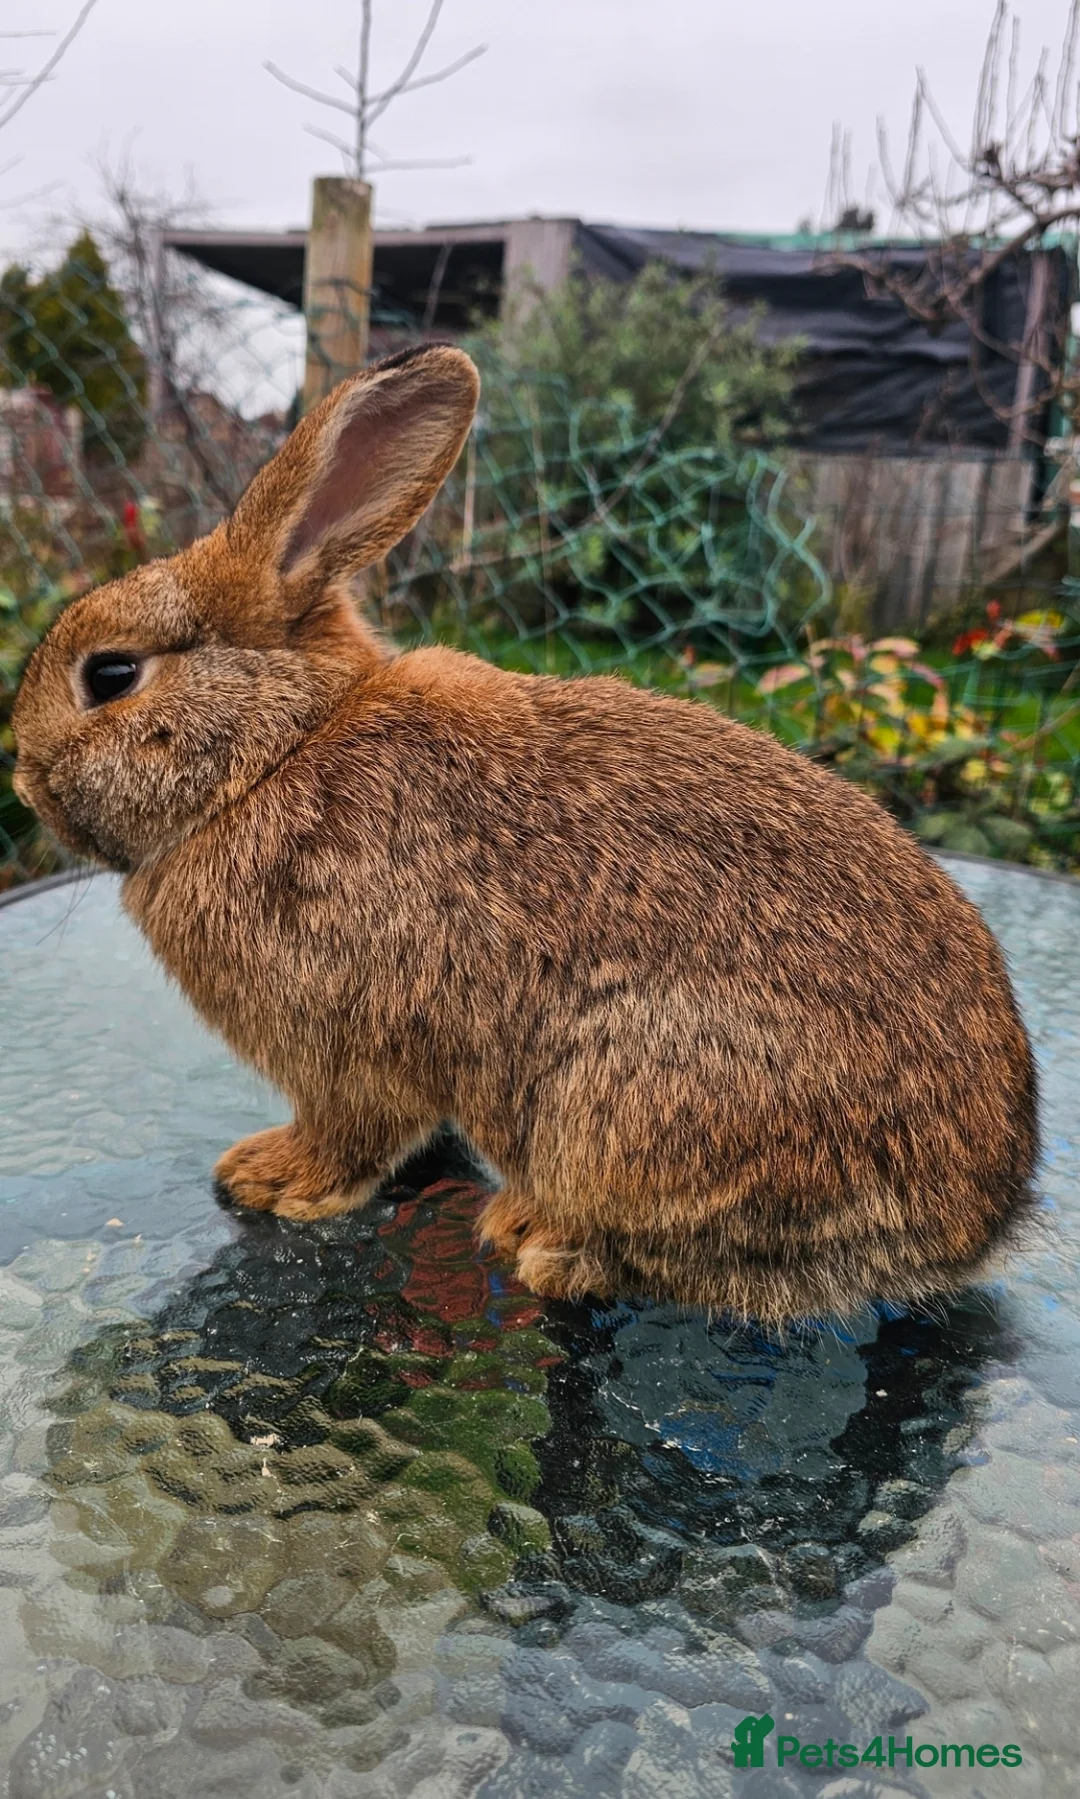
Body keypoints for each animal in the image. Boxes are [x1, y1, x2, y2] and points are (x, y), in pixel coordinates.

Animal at [13, 343, 1039, 1325]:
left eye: (110, 675)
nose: (22, 776)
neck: (273, 751)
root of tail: (975, 1224)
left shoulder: (350, 1053)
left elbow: (351, 1135)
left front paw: (273, 1179)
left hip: (621, 1105)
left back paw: (537, 1236)